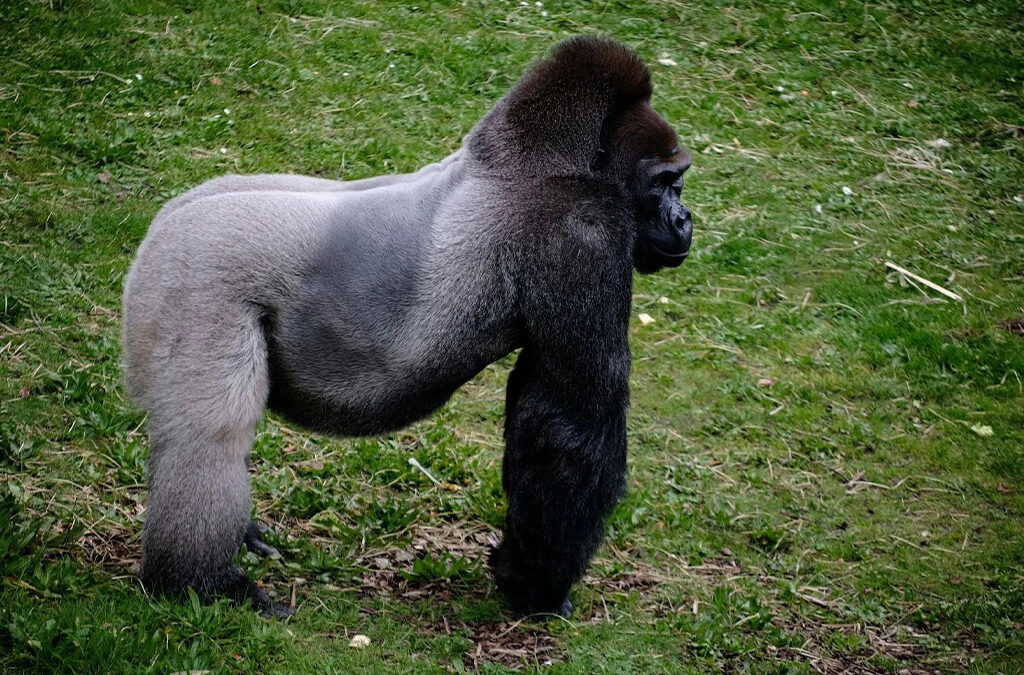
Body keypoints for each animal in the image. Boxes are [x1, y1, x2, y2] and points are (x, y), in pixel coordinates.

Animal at [122, 35, 693, 619]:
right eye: (666, 182)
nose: (683, 220)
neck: (545, 163)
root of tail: (160, 228)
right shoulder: (584, 233)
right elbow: (568, 430)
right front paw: (537, 587)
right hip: (193, 281)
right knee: (210, 437)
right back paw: (199, 583)